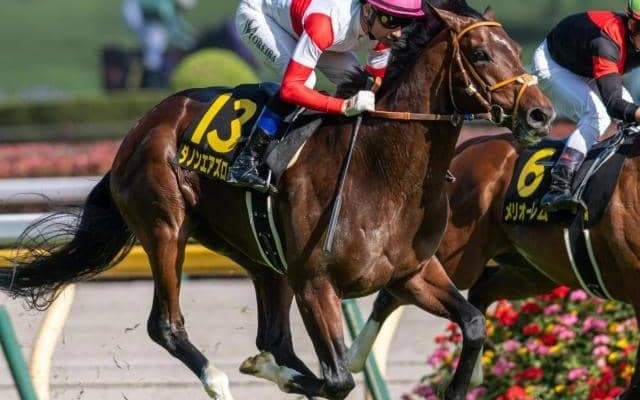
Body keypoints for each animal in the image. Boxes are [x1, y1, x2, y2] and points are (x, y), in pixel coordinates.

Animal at [0, 3, 553, 400]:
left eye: (515, 47)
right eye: (480, 55)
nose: (541, 114)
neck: (381, 171)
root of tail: (140, 128)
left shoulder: (412, 274)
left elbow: (474, 322)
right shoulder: (315, 282)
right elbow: (338, 379)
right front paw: (278, 374)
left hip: (262, 257)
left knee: (273, 336)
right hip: (166, 226)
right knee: (168, 325)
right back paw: (220, 381)